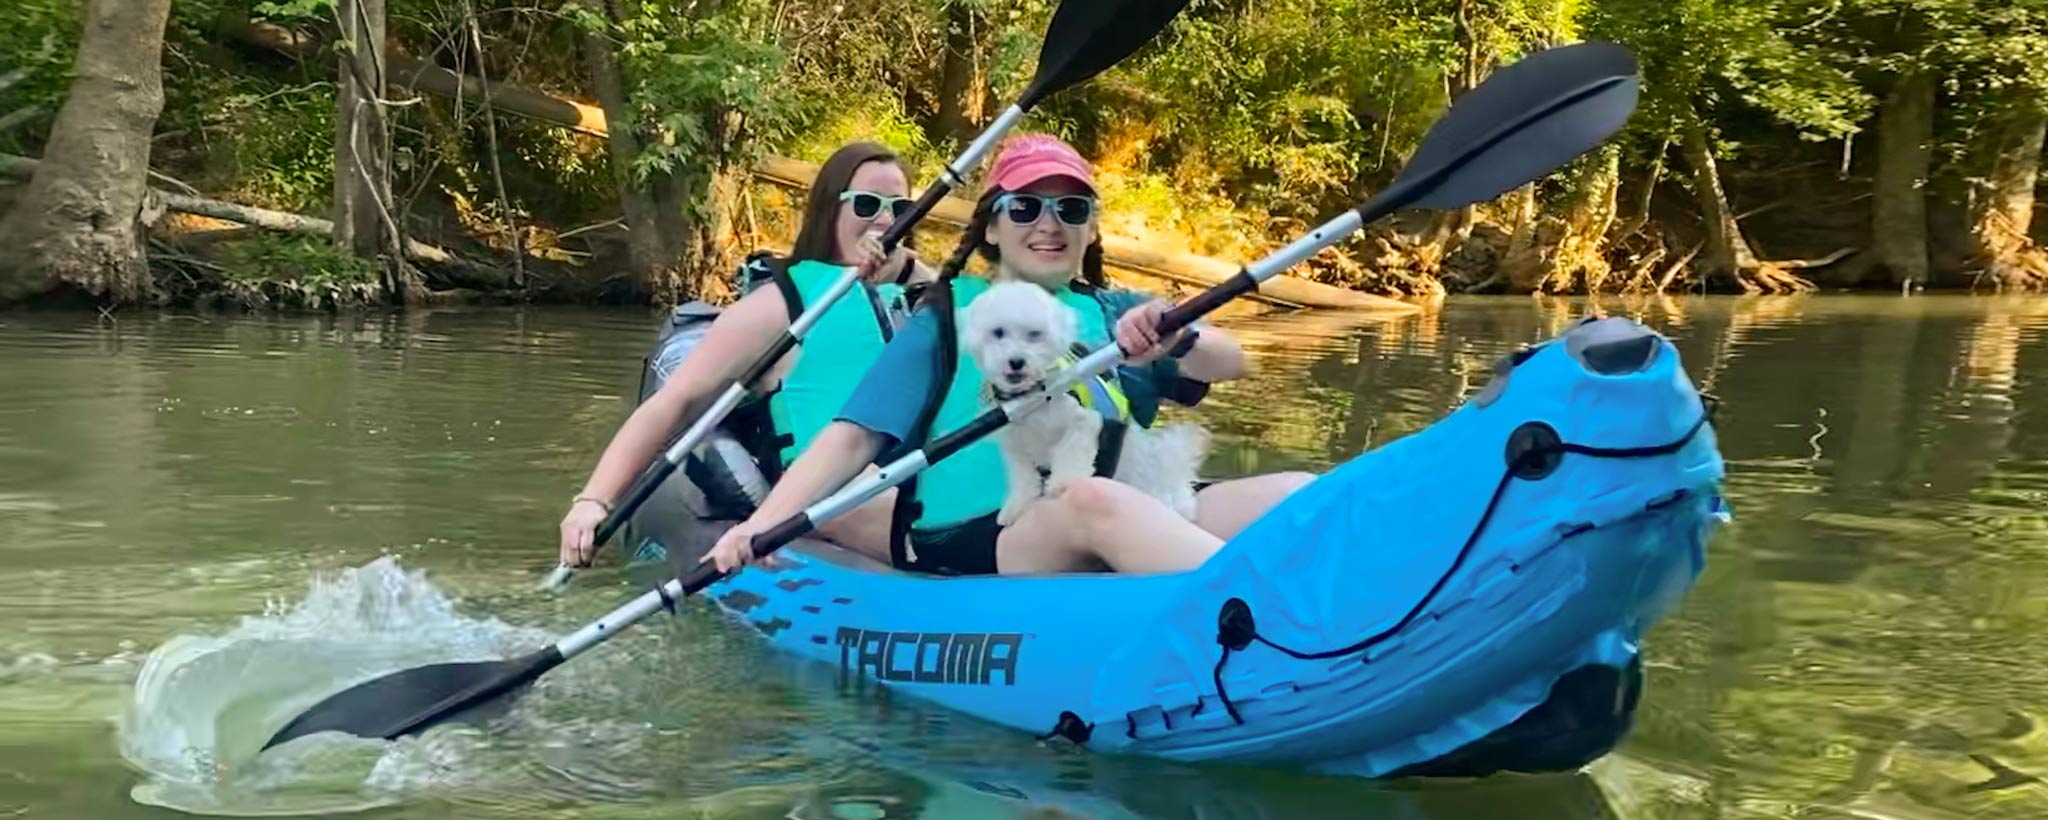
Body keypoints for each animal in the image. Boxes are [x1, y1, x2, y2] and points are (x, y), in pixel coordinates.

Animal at [962, 280, 1204, 524]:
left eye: (1035, 334)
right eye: (998, 332)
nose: (1016, 361)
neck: (1031, 398)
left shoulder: (1082, 421)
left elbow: (1072, 452)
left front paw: (1064, 483)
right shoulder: (1016, 444)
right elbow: (1023, 478)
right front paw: (1016, 505)